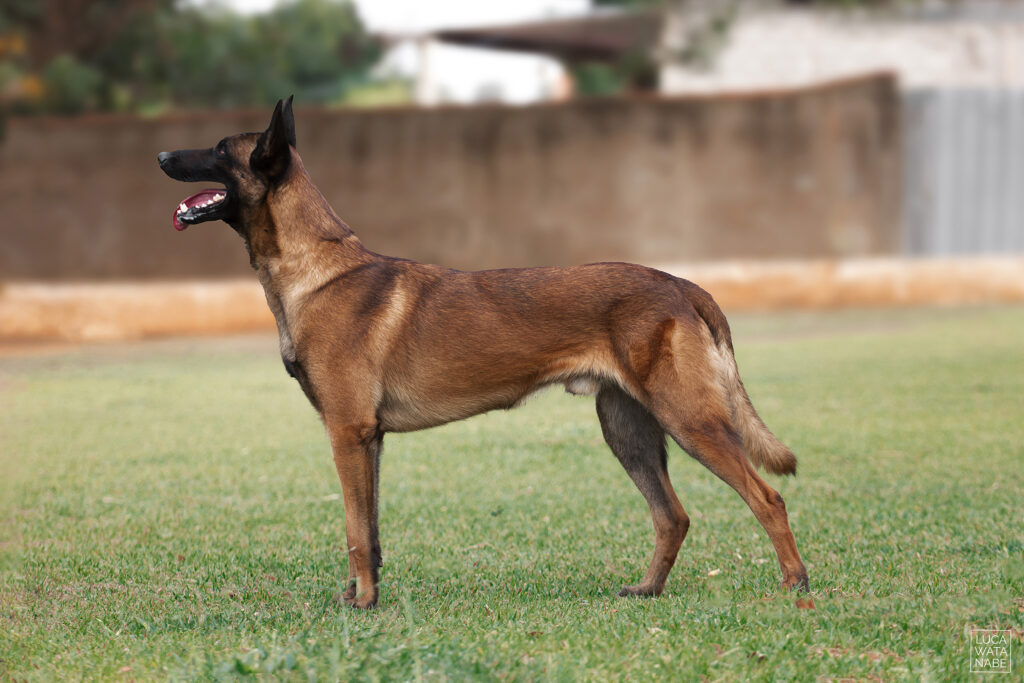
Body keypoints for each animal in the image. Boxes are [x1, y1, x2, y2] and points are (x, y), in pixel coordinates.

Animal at [157, 96, 806, 610]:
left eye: (218, 148)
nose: (161, 155)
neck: (316, 268)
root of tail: (680, 285)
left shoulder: (347, 433)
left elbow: (355, 530)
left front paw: (362, 604)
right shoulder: (370, 441)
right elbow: (372, 531)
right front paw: (364, 595)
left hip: (690, 420)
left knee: (767, 499)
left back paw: (796, 588)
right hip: (629, 431)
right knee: (672, 516)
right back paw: (648, 591)